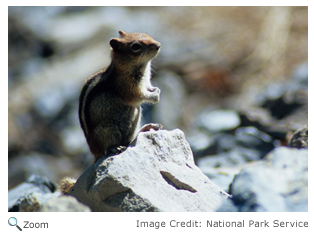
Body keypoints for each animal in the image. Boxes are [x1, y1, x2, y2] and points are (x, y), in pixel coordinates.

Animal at [58, 30, 162, 194]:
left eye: (147, 34)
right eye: (136, 46)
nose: (158, 45)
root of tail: (94, 152)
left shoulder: (146, 82)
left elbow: (149, 88)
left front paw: (156, 90)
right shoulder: (129, 88)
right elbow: (140, 96)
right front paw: (154, 97)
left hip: (135, 116)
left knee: (129, 140)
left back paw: (146, 128)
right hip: (108, 128)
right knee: (106, 150)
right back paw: (113, 148)